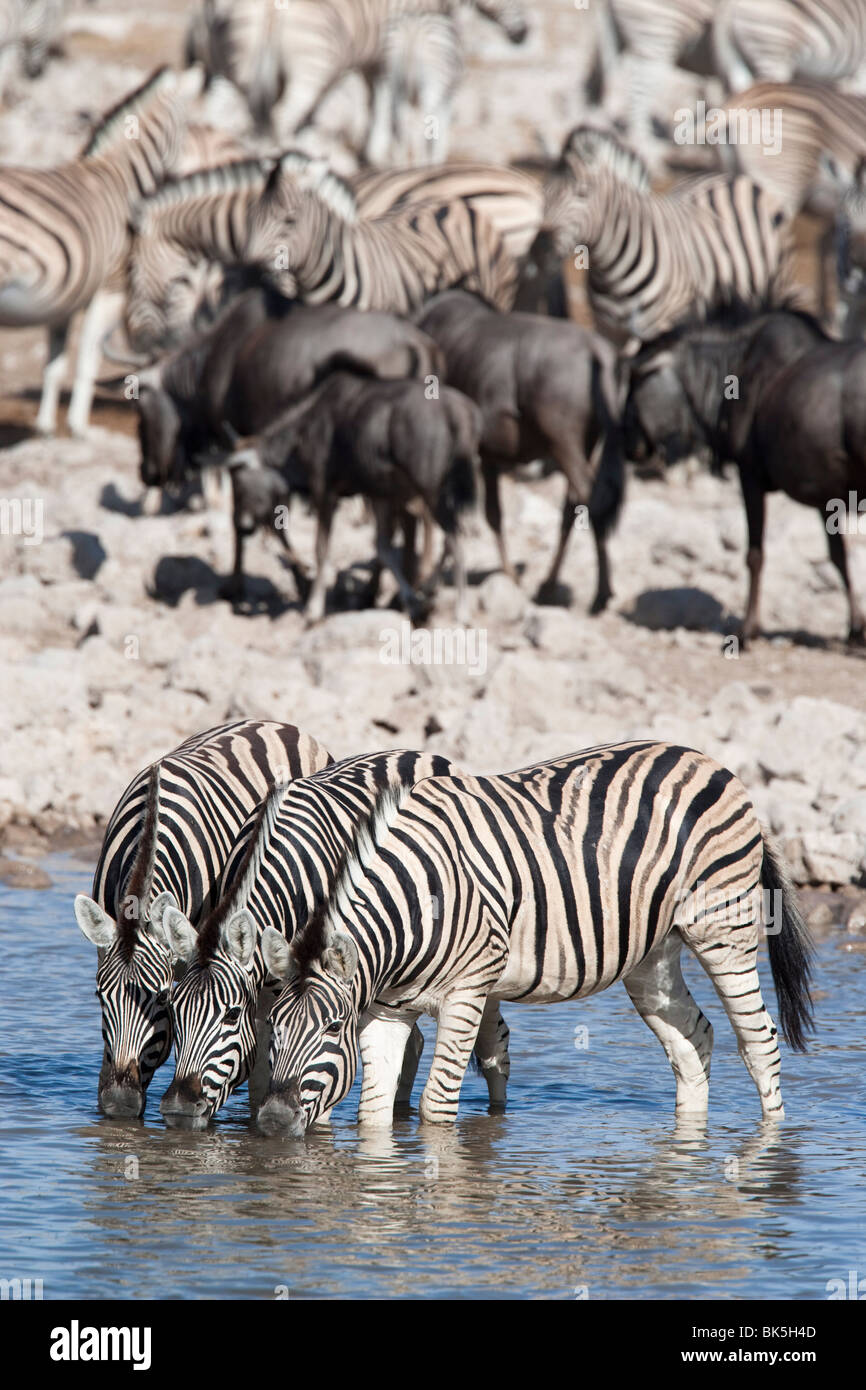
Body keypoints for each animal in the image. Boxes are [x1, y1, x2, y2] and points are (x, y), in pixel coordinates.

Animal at [0, 65, 191, 430]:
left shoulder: (63, 298)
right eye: (199, 127)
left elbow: (55, 364)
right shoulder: (111, 288)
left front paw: (46, 426)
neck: (120, 175)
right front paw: (78, 426)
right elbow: (88, 358)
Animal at [261, 745, 817, 1134]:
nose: (271, 1122)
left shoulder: (467, 992)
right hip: (651, 957)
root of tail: (712, 763)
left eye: (334, 1028)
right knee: (692, 1040)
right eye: (274, 1027)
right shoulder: (387, 1011)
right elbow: (373, 1113)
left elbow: (436, 1105)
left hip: (725, 928)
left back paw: (769, 1149)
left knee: (759, 1041)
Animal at [542, 125, 800, 347]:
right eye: (546, 190)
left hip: (775, 288)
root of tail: (730, 177)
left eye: (582, 192)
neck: (611, 275)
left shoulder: (658, 328)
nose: (542, 247)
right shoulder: (607, 330)